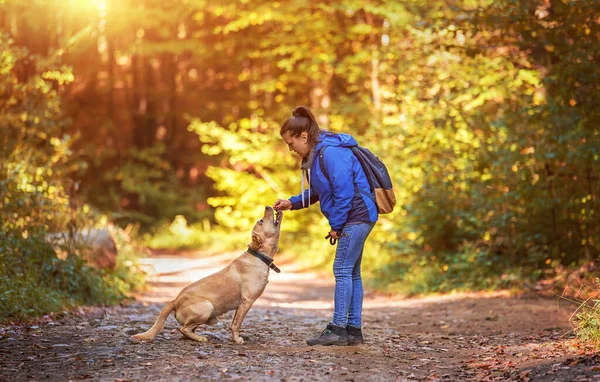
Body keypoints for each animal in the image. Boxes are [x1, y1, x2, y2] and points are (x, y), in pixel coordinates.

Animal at [130, 207, 282, 344]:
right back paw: (200, 338)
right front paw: (237, 339)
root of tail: (174, 301)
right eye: (261, 221)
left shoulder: (241, 305)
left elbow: (233, 323)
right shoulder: (247, 301)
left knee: (186, 331)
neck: (259, 256)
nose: (268, 206)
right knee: (184, 329)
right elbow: (237, 324)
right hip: (206, 308)